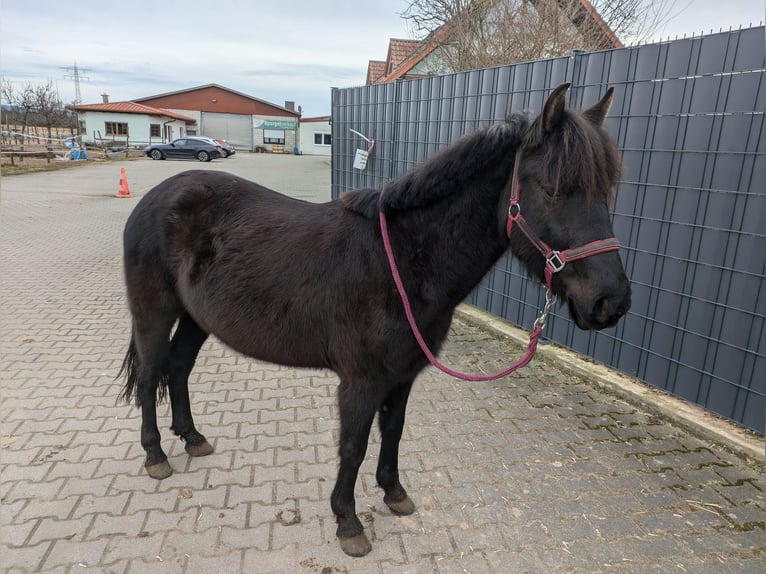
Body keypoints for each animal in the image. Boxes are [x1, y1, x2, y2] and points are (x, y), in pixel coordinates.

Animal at [120, 83, 632, 556]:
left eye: (605, 191)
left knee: (178, 369)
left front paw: (394, 492)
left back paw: (192, 437)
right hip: (153, 313)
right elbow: (353, 445)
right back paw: (156, 455)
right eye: (552, 190)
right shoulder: (361, 381)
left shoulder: (402, 374)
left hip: (196, 319)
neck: (402, 261)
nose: (611, 302)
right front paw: (348, 522)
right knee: (150, 375)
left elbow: (393, 430)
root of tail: (158, 195)